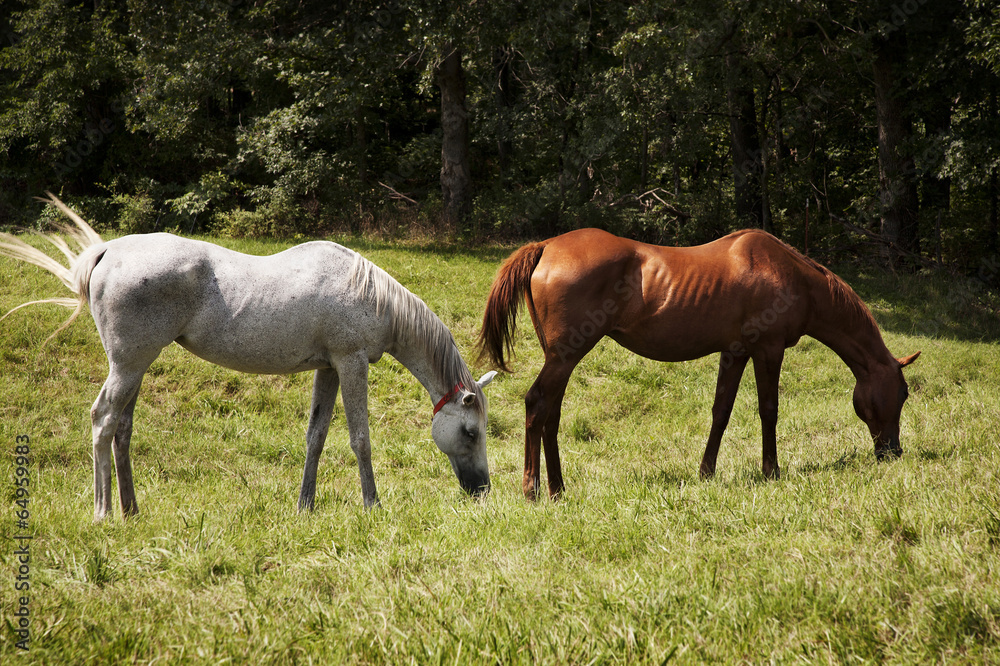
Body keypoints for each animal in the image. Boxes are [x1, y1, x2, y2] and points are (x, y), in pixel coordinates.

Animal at [1, 193, 496, 521]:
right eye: (470, 432)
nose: (482, 490)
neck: (371, 295)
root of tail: (109, 251)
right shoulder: (351, 363)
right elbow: (360, 438)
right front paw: (372, 506)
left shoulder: (329, 368)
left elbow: (316, 437)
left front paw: (304, 506)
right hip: (127, 366)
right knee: (103, 421)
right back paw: (104, 512)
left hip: (136, 367)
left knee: (122, 429)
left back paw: (132, 510)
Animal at [477, 227, 920, 500]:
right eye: (902, 393)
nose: (893, 452)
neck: (790, 275)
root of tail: (547, 246)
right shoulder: (769, 350)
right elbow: (769, 410)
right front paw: (771, 471)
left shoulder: (735, 352)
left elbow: (721, 411)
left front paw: (706, 472)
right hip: (565, 355)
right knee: (536, 404)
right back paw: (533, 489)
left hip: (561, 359)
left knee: (550, 415)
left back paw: (558, 488)